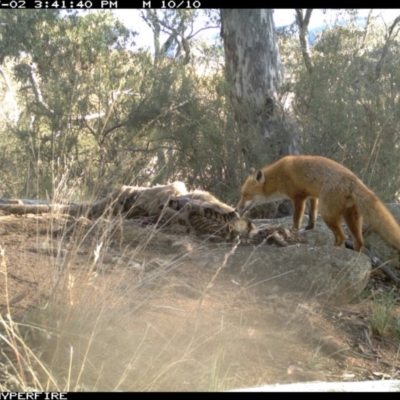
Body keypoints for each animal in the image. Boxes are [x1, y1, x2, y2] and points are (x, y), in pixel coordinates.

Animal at [236, 155, 400, 252]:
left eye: (246, 195)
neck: (279, 175)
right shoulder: (312, 196)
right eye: (242, 194)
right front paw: (309, 227)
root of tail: (354, 179)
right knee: (359, 242)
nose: (237, 209)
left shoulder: (298, 197)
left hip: (328, 214)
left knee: (342, 237)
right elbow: (312, 215)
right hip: (352, 218)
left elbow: (296, 219)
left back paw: (333, 250)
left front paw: (294, 231)